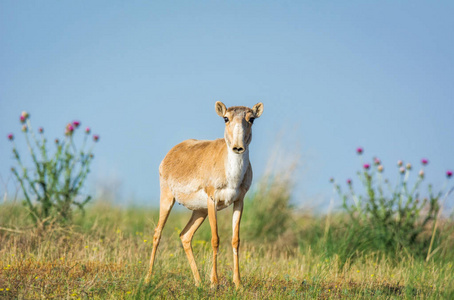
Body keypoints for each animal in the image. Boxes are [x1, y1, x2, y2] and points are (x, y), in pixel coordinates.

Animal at [145, 101, 262, 288]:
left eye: (251, 119)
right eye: (226, 118)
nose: (238, 147)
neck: (232, 175)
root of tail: (172, 151)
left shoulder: (239, 202)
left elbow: (236, 240)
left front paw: (238, 283)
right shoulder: (212, 200)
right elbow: (215, 239)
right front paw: (214, 282)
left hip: (199, 211)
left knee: (185, 236)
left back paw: (198, 282)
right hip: (168, 199)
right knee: (157, 233)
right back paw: (148, 278)